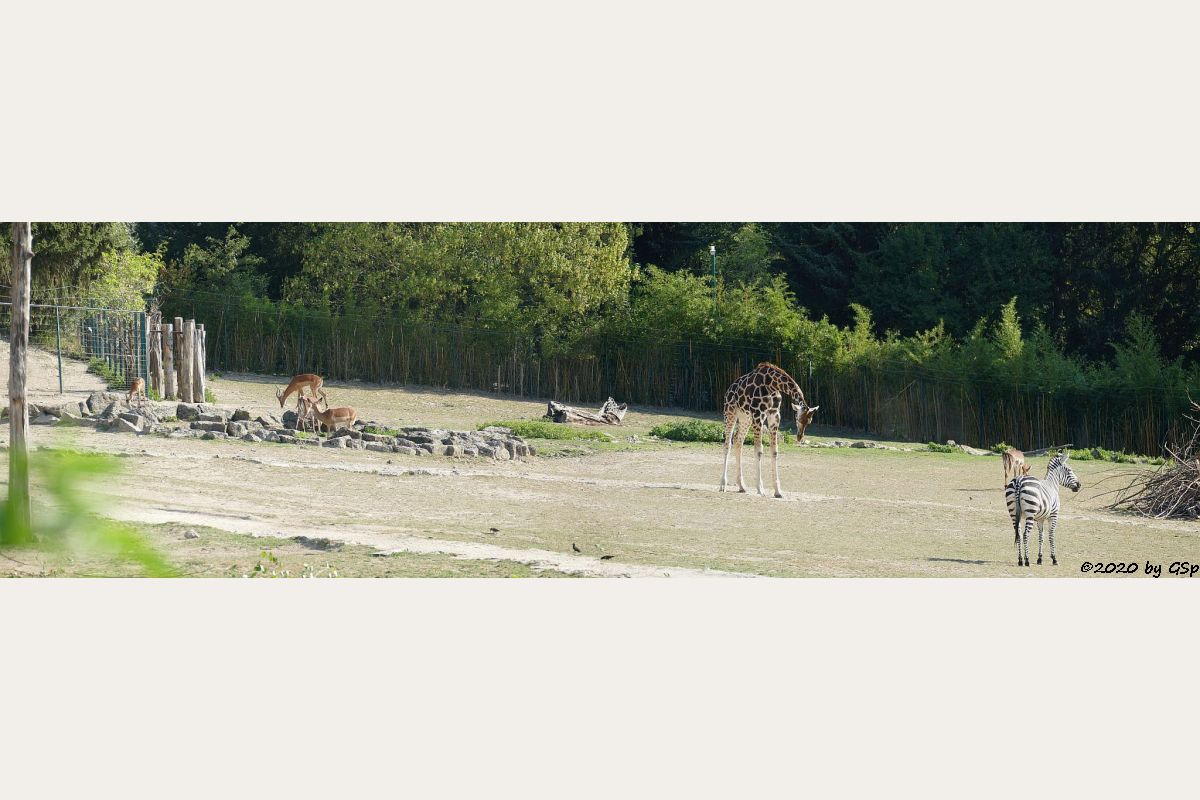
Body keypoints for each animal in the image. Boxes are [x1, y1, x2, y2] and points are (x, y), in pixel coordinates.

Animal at [720, 364, 816, 501]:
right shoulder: (758, 414)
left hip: (745, 418)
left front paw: (778, 491)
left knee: (738, 442)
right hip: (730, 413)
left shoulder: (774, 415)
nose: (799, 437)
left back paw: (742, 486)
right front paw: (760, 489)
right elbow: (758, 451)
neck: (773, 384)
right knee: (727, 444)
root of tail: (729, 390)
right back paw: (723, 485)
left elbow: (774, 451)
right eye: (798, 418)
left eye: (809, 421)